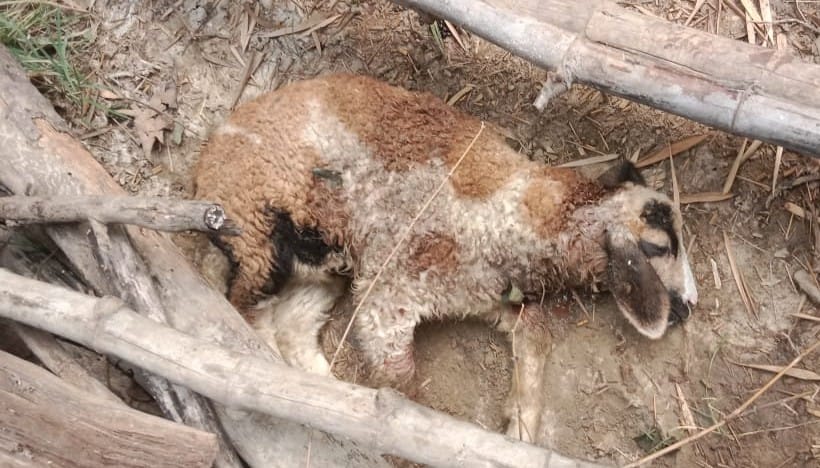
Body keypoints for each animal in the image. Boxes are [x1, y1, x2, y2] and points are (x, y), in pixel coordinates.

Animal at [193, 73, 699, 440]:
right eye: (660, 246)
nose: (690, 306)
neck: (525, 216)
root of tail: (207, 163)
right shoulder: (391, 296)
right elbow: (403, 391)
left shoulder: (492, 298)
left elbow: (535, 337)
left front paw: (520, 425)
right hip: (259, 235)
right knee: (246, 312)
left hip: (326, 262)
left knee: (292, 326)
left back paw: (324, 390)